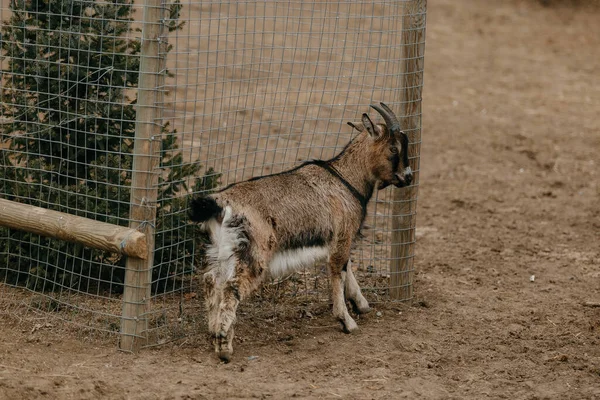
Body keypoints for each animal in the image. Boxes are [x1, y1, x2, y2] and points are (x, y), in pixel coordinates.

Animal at [191, 103, 412, 362]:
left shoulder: (340, 239)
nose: (408, 177)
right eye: (394, 147)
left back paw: (213, 331)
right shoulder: (342, 236)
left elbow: (347, 268)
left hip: (221, 250)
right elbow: (338, 271)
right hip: (253, 252)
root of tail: (220, 203)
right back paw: (224, 347)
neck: (346, 179)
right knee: (231, 287)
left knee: (211, 280)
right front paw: (347, 321)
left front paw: (362, 305)